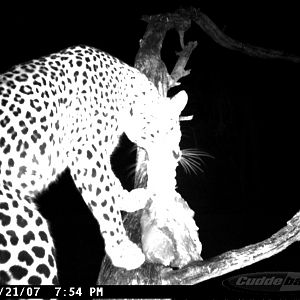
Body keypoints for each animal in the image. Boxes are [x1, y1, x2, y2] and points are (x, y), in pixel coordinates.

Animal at [0, 44, 188, 284]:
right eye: (161, 132)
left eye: (175, 129)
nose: (175, 155)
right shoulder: (86, 152)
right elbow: (103, 200)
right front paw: (122, 250)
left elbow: (111, 183)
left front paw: (128, 198)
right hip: (26, 231)